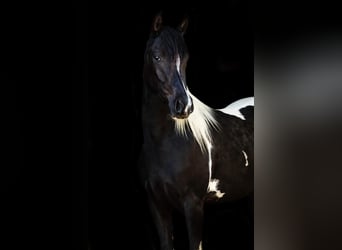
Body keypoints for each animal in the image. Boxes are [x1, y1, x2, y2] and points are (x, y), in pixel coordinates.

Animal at [139, 13, 254, 250]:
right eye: (157, 56)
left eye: (185, 59)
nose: (184, 106)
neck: (165, 143)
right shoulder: (157, 206)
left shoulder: (193, 205)